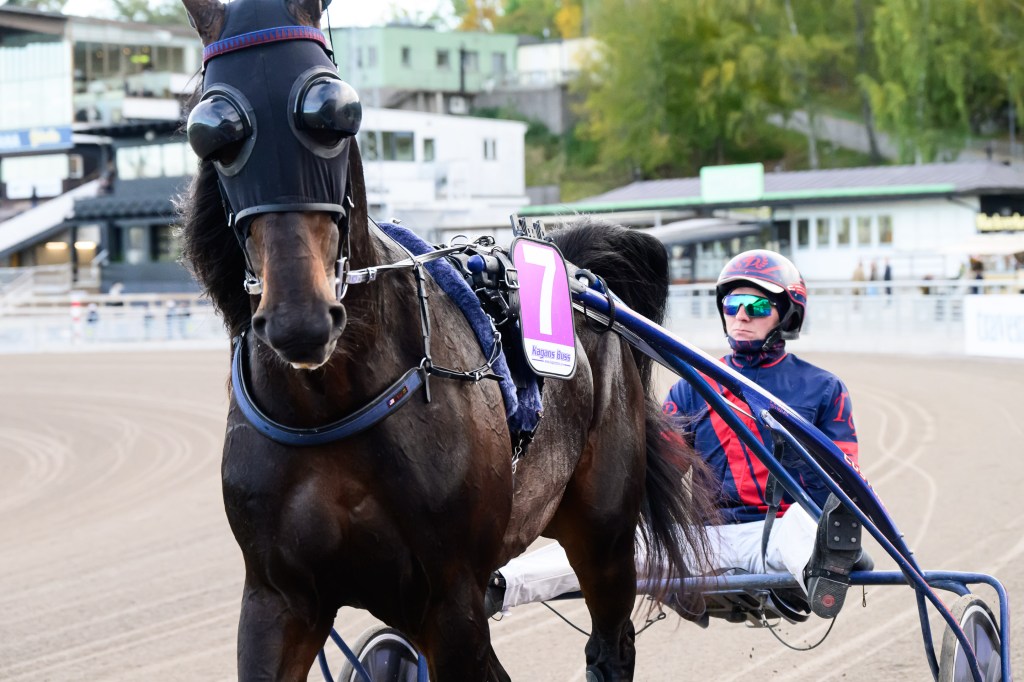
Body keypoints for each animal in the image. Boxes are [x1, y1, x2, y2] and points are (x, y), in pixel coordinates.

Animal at [177, 0, 718, 679]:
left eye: (334, 110)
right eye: (211, 128)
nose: (299, 317)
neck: (329, 404)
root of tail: (573, 265)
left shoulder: (450, 596)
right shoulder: (277, 599)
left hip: (605, 530)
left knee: (610, 642)